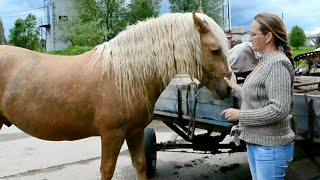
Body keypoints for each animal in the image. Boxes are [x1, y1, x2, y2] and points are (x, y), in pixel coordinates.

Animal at [0, 12, 230, 179]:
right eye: (215, 50)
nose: (228, 89)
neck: (126, 76)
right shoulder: (112, 135)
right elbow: (107, 170)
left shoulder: (135, 132)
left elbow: (141, 165)